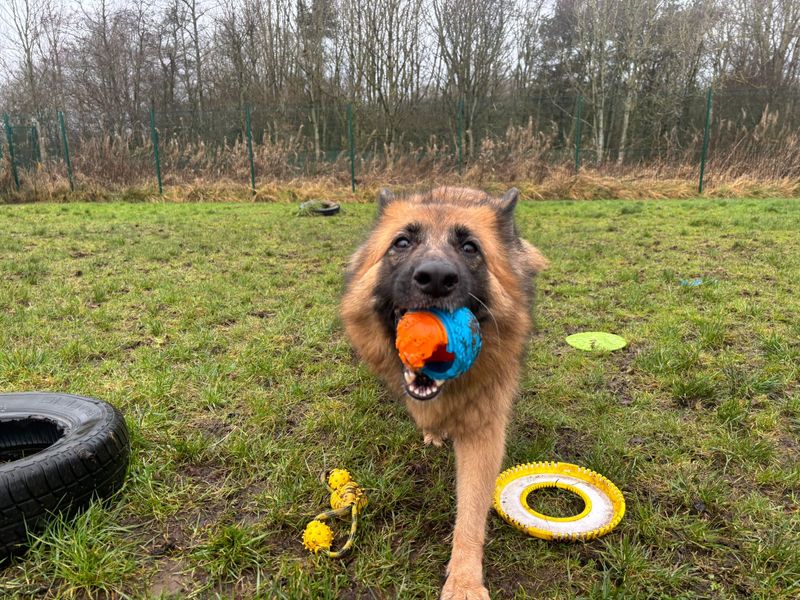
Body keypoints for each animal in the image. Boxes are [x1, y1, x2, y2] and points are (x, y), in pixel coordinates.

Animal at [340, 186, 548, 596]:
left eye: (470, 247)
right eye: (402, 242)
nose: (435, 278)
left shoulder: (484, 433)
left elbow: (471, 512)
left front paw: (464, 581)